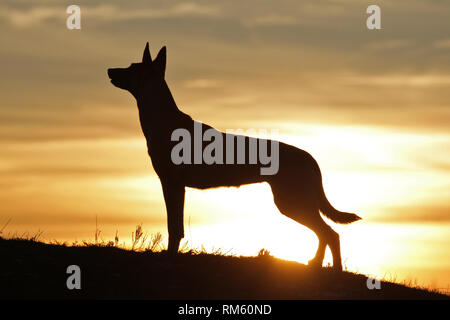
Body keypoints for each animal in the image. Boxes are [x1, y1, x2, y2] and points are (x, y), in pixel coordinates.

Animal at [107, 42, 360, 270]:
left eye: (131, 68)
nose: (109, 70)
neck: (162, 118)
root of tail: (310, 158)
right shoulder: (175, 186)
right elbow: (175, 226)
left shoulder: (172, 184)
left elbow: (173, 227)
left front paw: (170, 258)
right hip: (297, 202)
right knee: (324, 232)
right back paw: (315, 263)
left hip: (291, 202)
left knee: (330, 233)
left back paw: (335, 269)